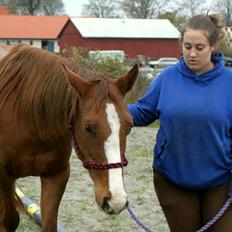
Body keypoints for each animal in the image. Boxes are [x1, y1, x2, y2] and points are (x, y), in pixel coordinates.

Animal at [0, 44, 138, 232]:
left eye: (129, 126)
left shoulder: (56, 175)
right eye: (88, 128)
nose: (116, 200)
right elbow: (9, 220)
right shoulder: (3, 176)